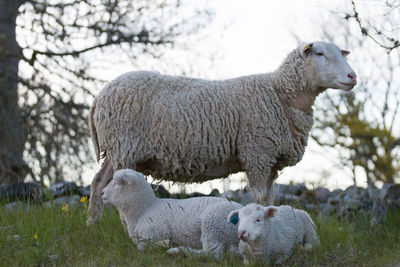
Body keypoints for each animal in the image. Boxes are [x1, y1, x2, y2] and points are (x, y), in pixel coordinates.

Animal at [101, 170, 242, 260]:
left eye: (117, 183)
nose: (102, 193)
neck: (144, 209)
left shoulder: (156, 232)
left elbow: (142, 246)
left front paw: (164, 244)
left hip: (213, 223)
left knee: (212, 253)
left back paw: (177, 251)